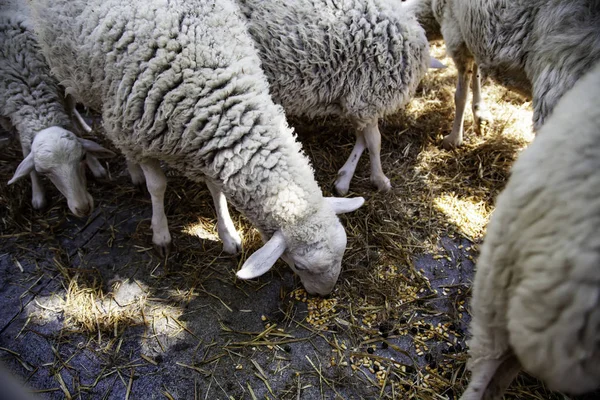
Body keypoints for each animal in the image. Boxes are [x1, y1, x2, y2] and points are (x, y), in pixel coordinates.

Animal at [0, 0, 116, 216]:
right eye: (43, 171)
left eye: (82, 157)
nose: (83, 208)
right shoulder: (9, 117)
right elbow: (25, 151)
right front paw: (38, 195)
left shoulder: (63, 89)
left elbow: (72, 124)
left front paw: (95, 165)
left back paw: (85, 126)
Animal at [29, 0, 366, 296]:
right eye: (298, 265)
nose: (323, 295)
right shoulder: (140, 135)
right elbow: (157, 186)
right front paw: (161, 235)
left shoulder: (208, 146)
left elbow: (216, 191)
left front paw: (228, 235)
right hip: (87, 83)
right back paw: (126, 167)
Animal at [234, 0, 446, 195]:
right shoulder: (368, 98)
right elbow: (374, 142)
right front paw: (380, 179)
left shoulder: (355, 99)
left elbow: (362, 138)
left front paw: (344, 179)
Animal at [406, 0, 600, 149]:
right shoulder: (472, 33)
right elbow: (476, 73)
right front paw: (480, 114)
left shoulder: (455, 30)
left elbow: (461, 95)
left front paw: (453, 139)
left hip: (562, 73)